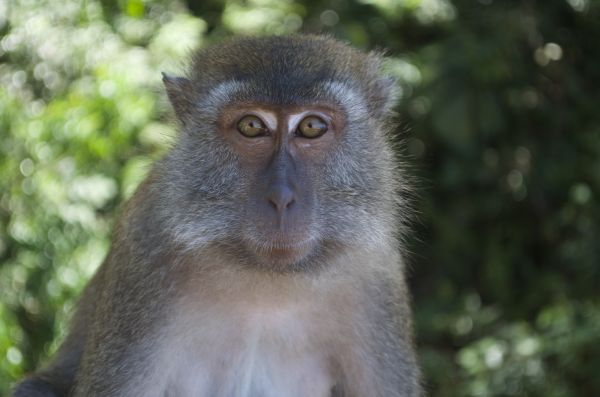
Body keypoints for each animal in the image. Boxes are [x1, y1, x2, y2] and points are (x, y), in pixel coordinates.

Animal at [9, 34, 422, 396]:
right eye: (251, 126)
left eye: (311, 126)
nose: (281, 198)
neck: (267, 281)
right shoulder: (146, 244)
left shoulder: (376, 272)